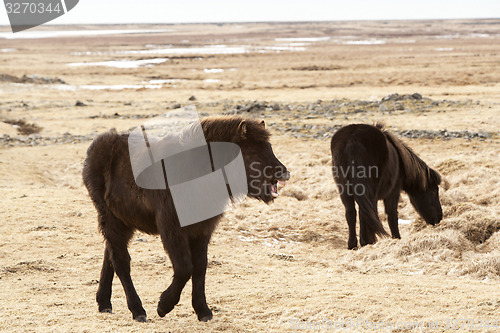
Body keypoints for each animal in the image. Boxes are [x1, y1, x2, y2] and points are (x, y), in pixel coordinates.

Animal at [82, 116, 290, 322]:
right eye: (253, 151)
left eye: (269, 146)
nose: (284, 173)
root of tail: (95, 149)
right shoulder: (172, 228)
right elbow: (184, 268)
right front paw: (163, 306)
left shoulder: (202, 230)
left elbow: (200, 267)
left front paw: (203, 310)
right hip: (111, 220)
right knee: (120, 261)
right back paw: (137, 309)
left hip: (122, 222)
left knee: (110, 255)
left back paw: (104, 303)